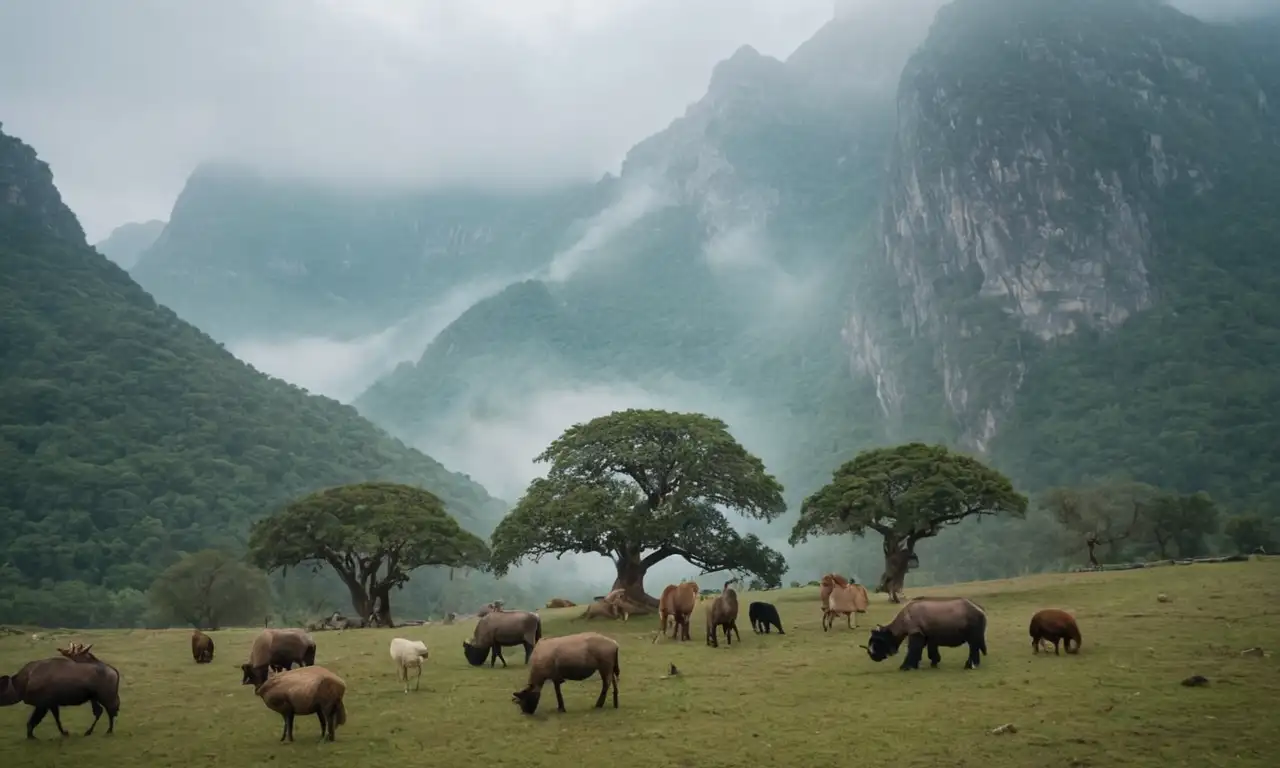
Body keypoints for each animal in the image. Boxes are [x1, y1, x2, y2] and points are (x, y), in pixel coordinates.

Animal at [860, 596, 988, 670]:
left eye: (878, 642)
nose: (873, 657)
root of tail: (981, 610)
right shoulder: (927, 635)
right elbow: (927, 650)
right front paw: (933, 663)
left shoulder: (915, 632)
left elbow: (913, 649)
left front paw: (905, 667)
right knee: (975, 644)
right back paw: (974, 664)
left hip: (973, 623)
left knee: (973, 645)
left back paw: (969, 666)